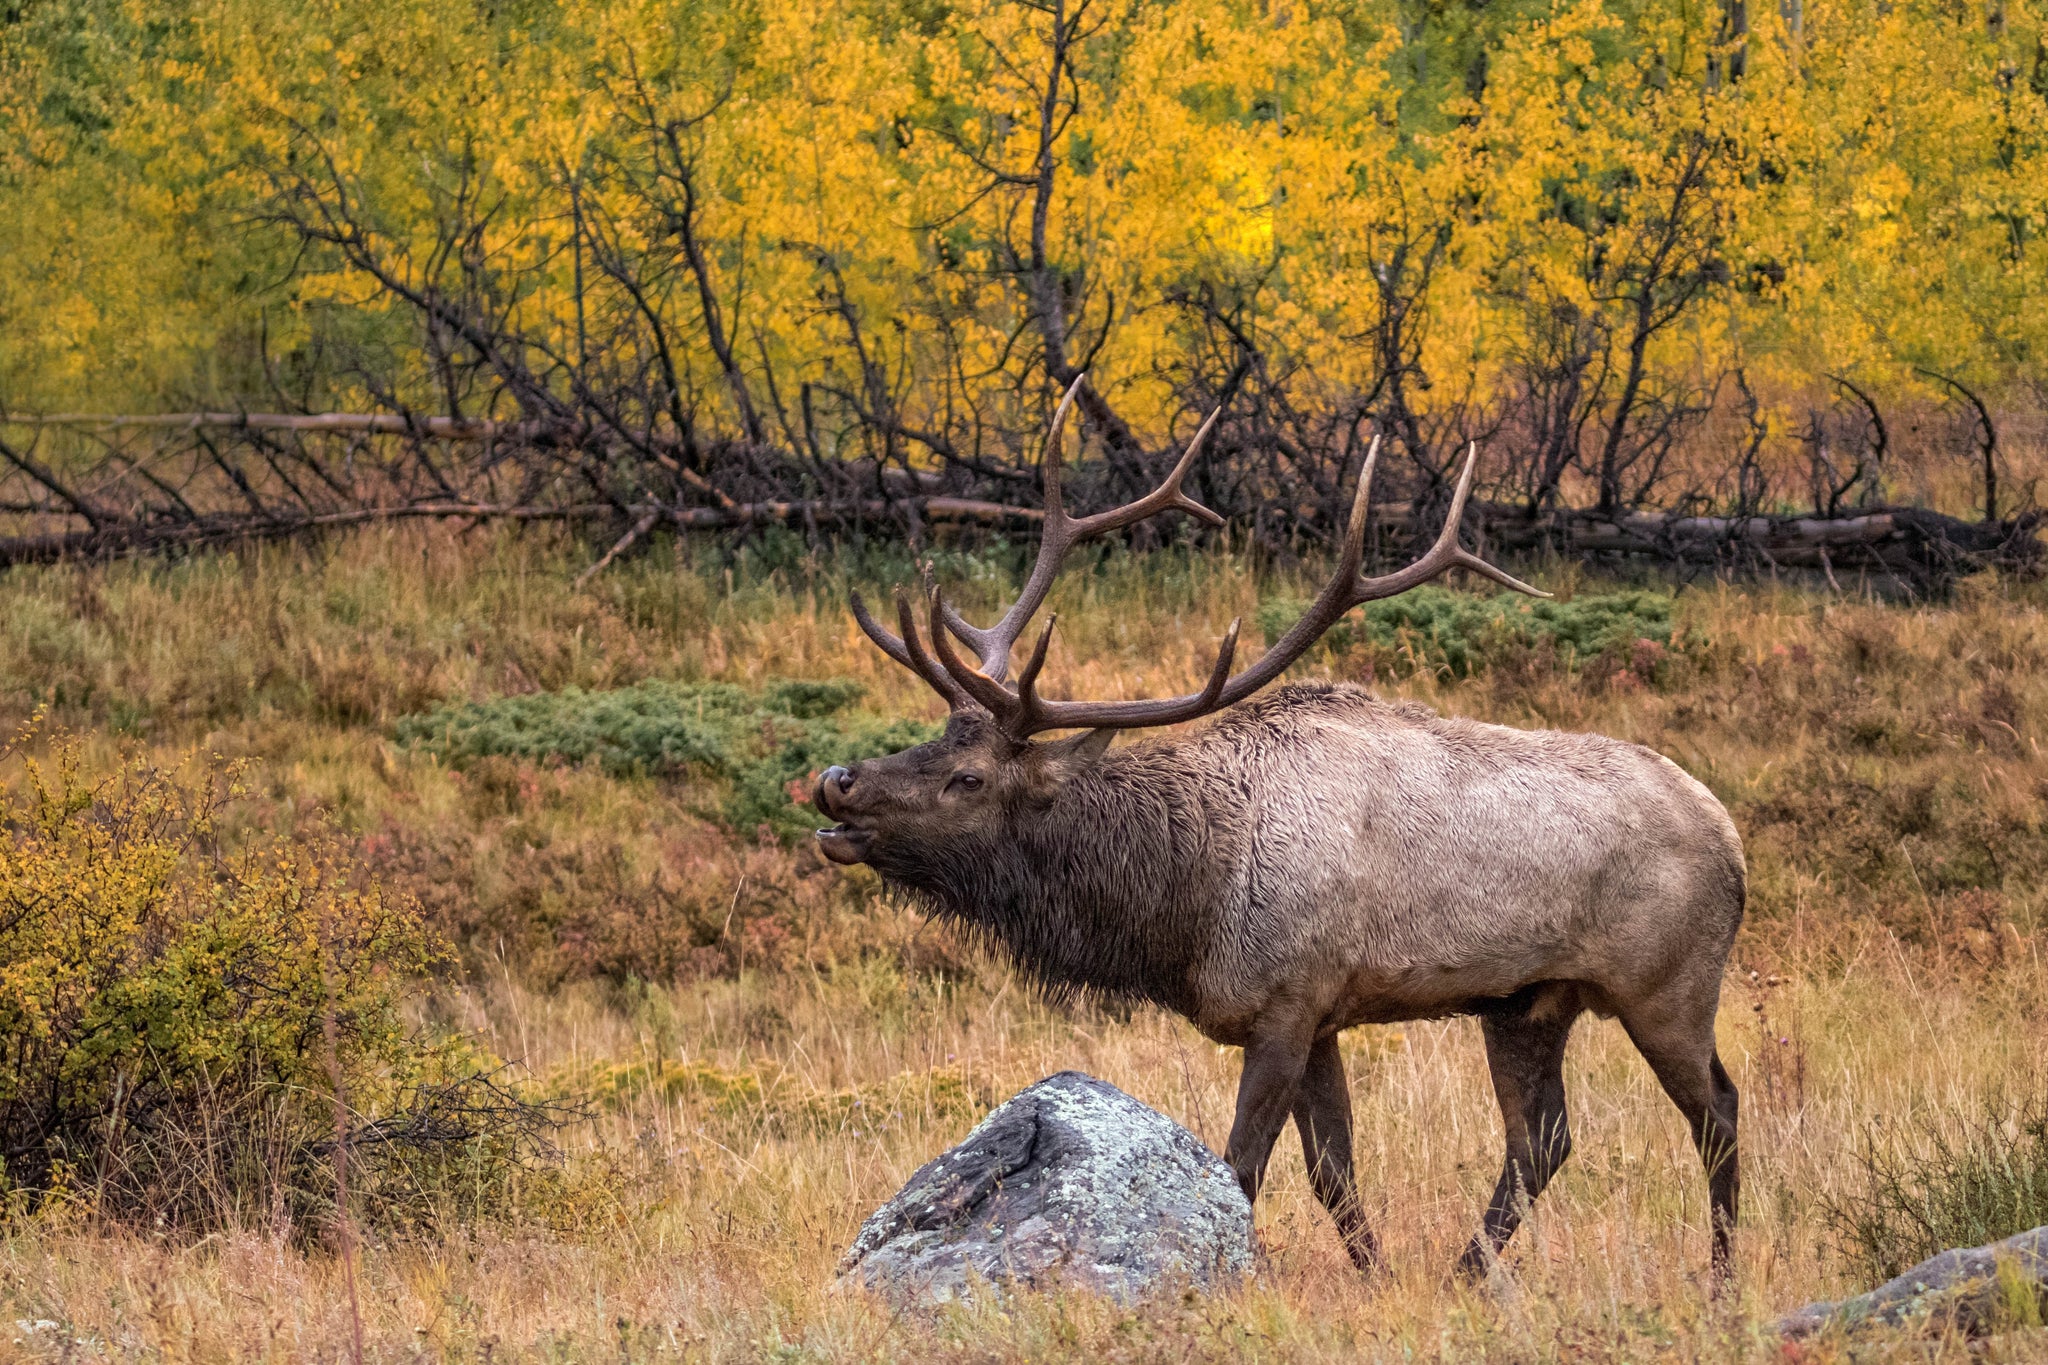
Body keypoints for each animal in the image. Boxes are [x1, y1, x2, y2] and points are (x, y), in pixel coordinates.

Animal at [813, 379, 1744, 1280]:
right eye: (932, 737)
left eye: (967, 778)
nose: (837, 782)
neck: (1187, 903)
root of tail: (1732, 837)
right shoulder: (1321, 1012)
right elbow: (1333, 1170)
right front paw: (1376, 1278)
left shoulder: (1288, 1000)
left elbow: (1240, 1166)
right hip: (1526, 1004)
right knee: (1543, 1140)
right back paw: (1466, 1272)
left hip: (1669, 985)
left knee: (1719, 1111)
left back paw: (1721, 1276)